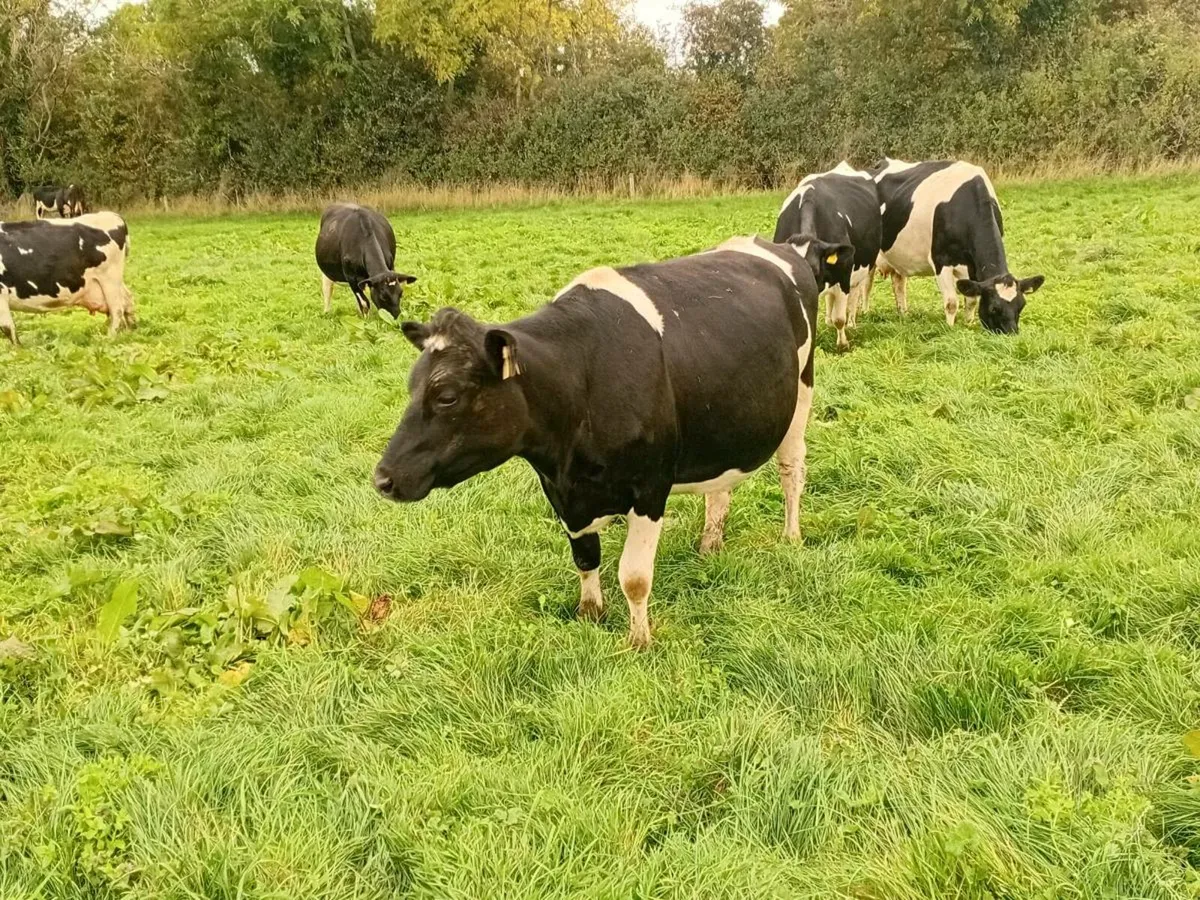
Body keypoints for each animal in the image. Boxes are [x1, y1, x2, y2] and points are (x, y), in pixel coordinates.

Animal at [0, 212, 135, 345]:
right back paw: (131, 331)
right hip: (114, 282)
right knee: (128, 300)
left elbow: (7, 327)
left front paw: (19, 350)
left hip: (110, 279)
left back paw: (109, 339)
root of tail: (114, 215)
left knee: (117, 310)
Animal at [373, 234, 853, 649]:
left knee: (792, 470)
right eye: (411, 386)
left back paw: (791, 536)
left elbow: (635, 576)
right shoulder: (561, 491)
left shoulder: (650, 486)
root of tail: (774, 246)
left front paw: (639, 640)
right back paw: (710, 544)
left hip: (801, 395)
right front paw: (590, 613)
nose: (383, 479)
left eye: (447, 395)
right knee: (719, 489)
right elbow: (585, 556)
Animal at [774, 161, 882, 351]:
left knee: (854, 294)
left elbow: (840, 318)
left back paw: (852, 323)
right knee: (830, 298)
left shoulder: (844, 273)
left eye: (814, 271)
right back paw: (828, 321)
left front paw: (843, 344)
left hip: (861, 268)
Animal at [872, 158, 1044, 334]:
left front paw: (968, 325)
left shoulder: (973, 267)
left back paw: (903, 315)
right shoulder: (941, 261)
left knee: (898, 283)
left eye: (1021, 306)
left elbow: (971, 301)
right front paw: (950, 329)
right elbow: (951, 303)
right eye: (993, 308)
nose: (1011, 334)